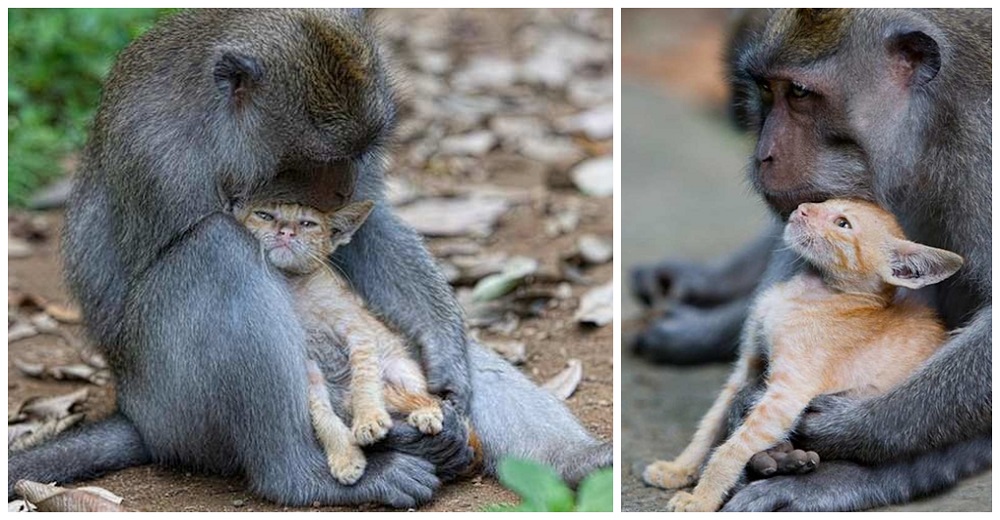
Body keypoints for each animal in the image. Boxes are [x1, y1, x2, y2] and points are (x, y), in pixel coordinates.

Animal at [236, 199, 458, 484]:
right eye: (264, 215)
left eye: (308, 223)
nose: (285, 232)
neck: (295, 286)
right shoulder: (308, 365)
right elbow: (321, 415)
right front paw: (345, 457)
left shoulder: (359, 333)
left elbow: (364, 380)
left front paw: (369, 419)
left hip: (400, 368)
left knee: (426, 396)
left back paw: (425, 412)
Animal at [644, 199, 964, 512]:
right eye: (826, 201)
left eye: (842, 223)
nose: (802, 208)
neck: (807, 290)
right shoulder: (747, 367)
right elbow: (711, 424)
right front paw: (678, 469)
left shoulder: (787, 395)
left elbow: (731, 448)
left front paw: (701, 500)